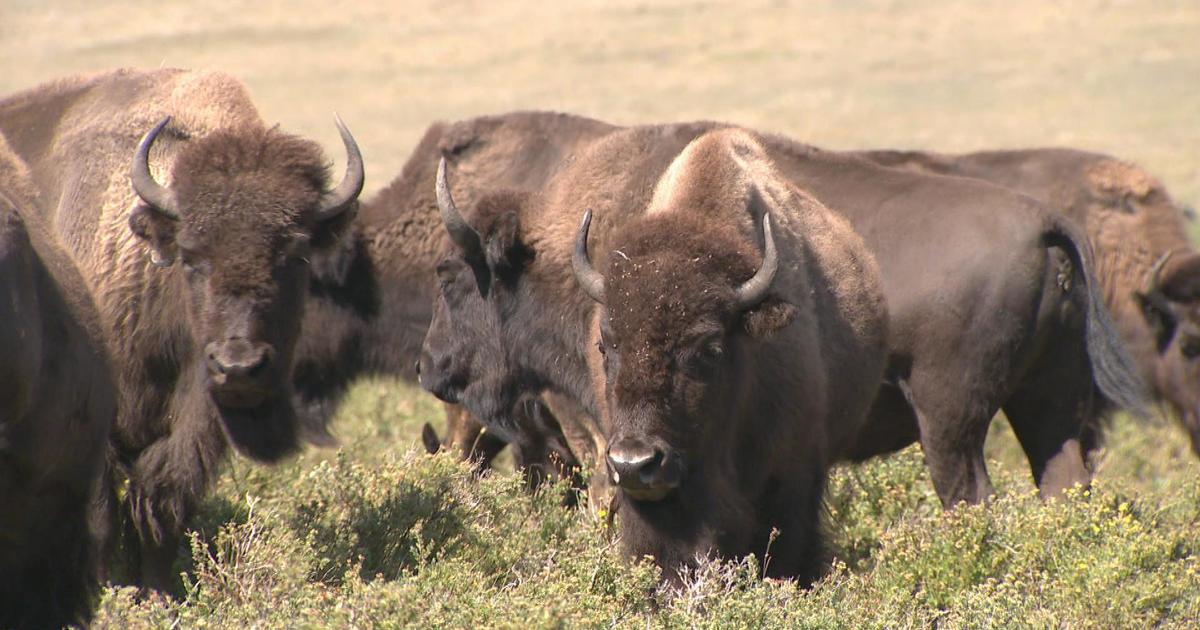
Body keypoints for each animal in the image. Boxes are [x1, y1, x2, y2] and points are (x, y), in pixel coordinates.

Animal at [1, 68, 364, 590]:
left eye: (295, 255)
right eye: (192, 256)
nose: (239, 365)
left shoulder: (191, 426)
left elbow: (163, 506)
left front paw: (157, 593)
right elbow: (102, 518)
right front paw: (108, 591)